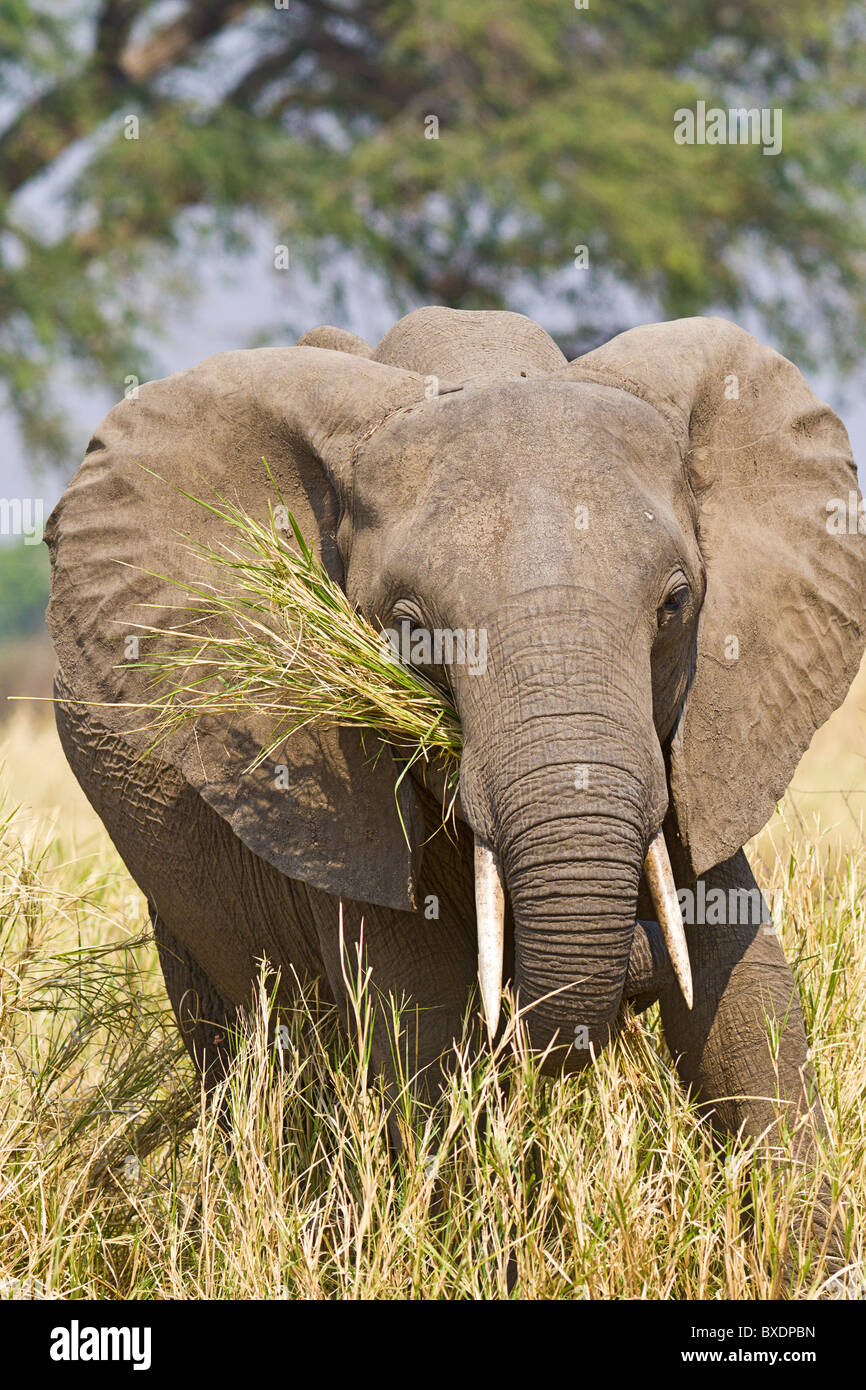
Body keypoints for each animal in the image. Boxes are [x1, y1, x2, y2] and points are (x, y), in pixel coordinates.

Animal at [45, 309, 866, 1267]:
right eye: (407, 629)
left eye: (676, 604)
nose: (633, 965)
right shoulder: (335, 788)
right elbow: (423, 1037)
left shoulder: (704, 739)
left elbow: (748, 1015)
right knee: (250, 1052)